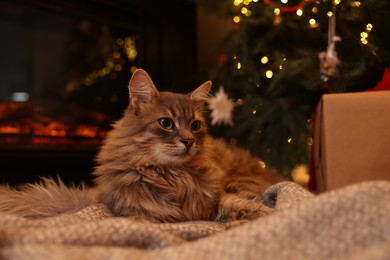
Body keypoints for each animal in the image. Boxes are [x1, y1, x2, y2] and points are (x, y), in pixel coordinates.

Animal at [0, 69, 280, 223]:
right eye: (166, 123)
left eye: (195, 125)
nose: (189, 141)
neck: (171, 176)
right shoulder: (135, 210)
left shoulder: (218, 196)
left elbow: (235, 203)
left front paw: (261, 214)